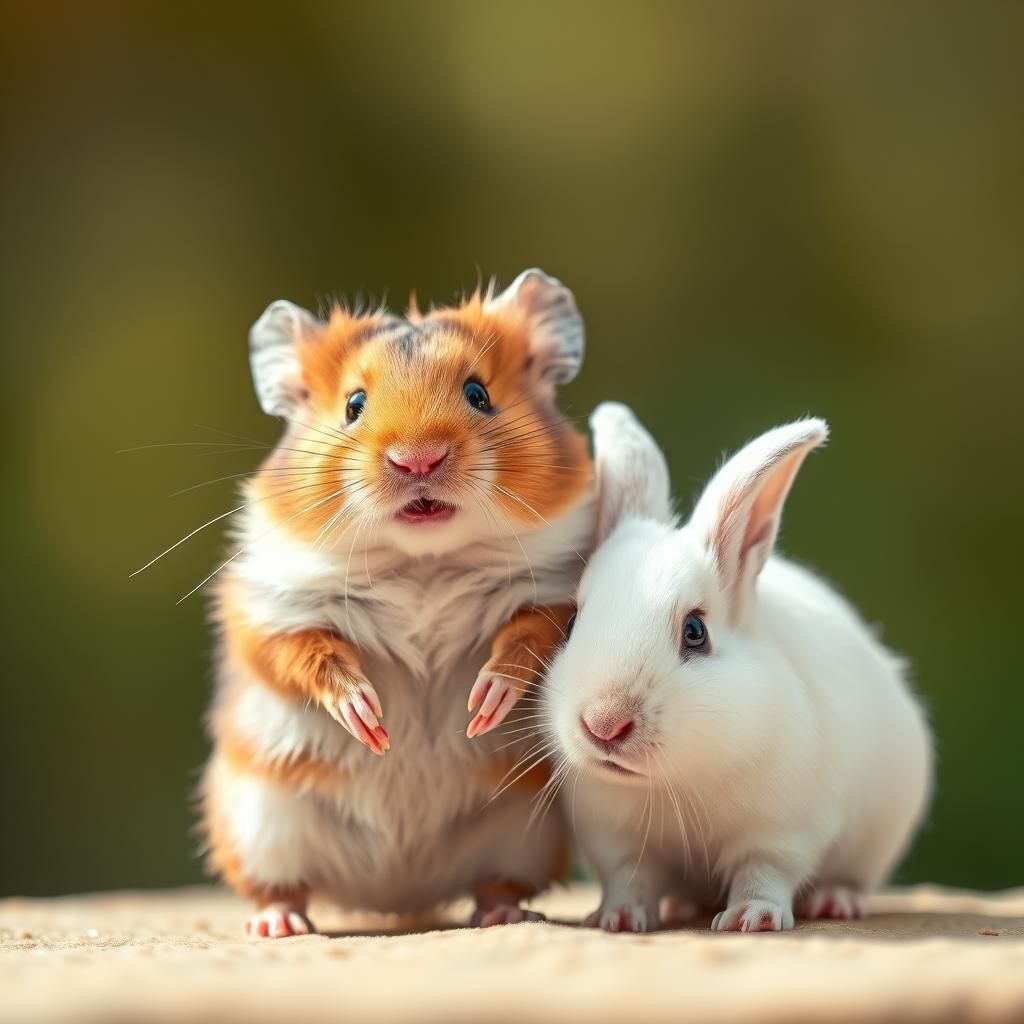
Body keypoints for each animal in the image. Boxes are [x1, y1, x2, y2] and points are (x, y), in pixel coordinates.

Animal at [200, 269, 595, 936]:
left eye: (478, 393)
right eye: (353, 405)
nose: (418, 459)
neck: (421, 564)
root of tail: (396, 895)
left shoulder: (559, 592)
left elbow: (526, 638)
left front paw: (482, 707)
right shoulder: (268, 611)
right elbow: (308, 655)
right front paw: (371, 723)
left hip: (524, 834)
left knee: (494, 883)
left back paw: (505, 913)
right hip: (257, 824)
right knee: (279, 888)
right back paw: (277, 924)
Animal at [542, 403, 933, 932]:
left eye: (695, 632)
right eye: (572, 622)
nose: (603, 724)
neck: (674, 783)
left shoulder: (780, 832)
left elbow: (762, 873)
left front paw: (753, 918)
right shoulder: (616, 842)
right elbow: (630, 880)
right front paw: (616, 918)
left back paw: (835, 901)